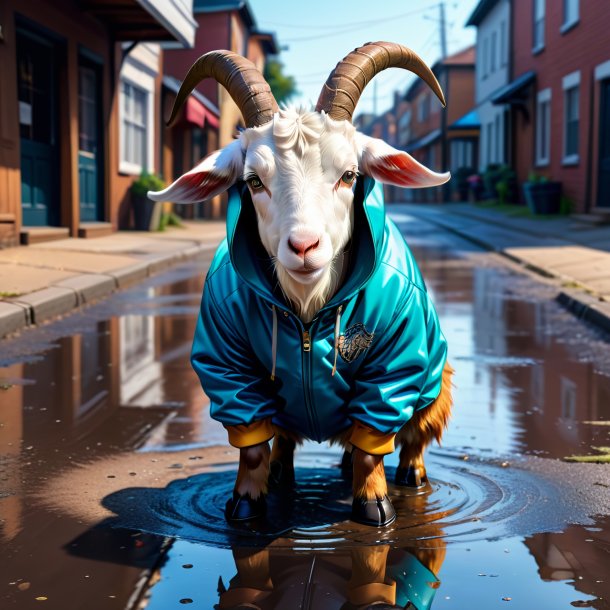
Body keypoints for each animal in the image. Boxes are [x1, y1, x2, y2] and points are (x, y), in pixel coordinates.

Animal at [147, 44, 452, 528]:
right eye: (254, 181)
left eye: (349, 175)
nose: (304, 246)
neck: (308, 312)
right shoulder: (226, 361)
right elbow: (251, 444)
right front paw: (246, 501)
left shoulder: (396, 362)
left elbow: (373, 442)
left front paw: (374, 503)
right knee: (285, 438)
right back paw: (282, 473)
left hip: (436, 383)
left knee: (413, 434)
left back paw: (410, 473)